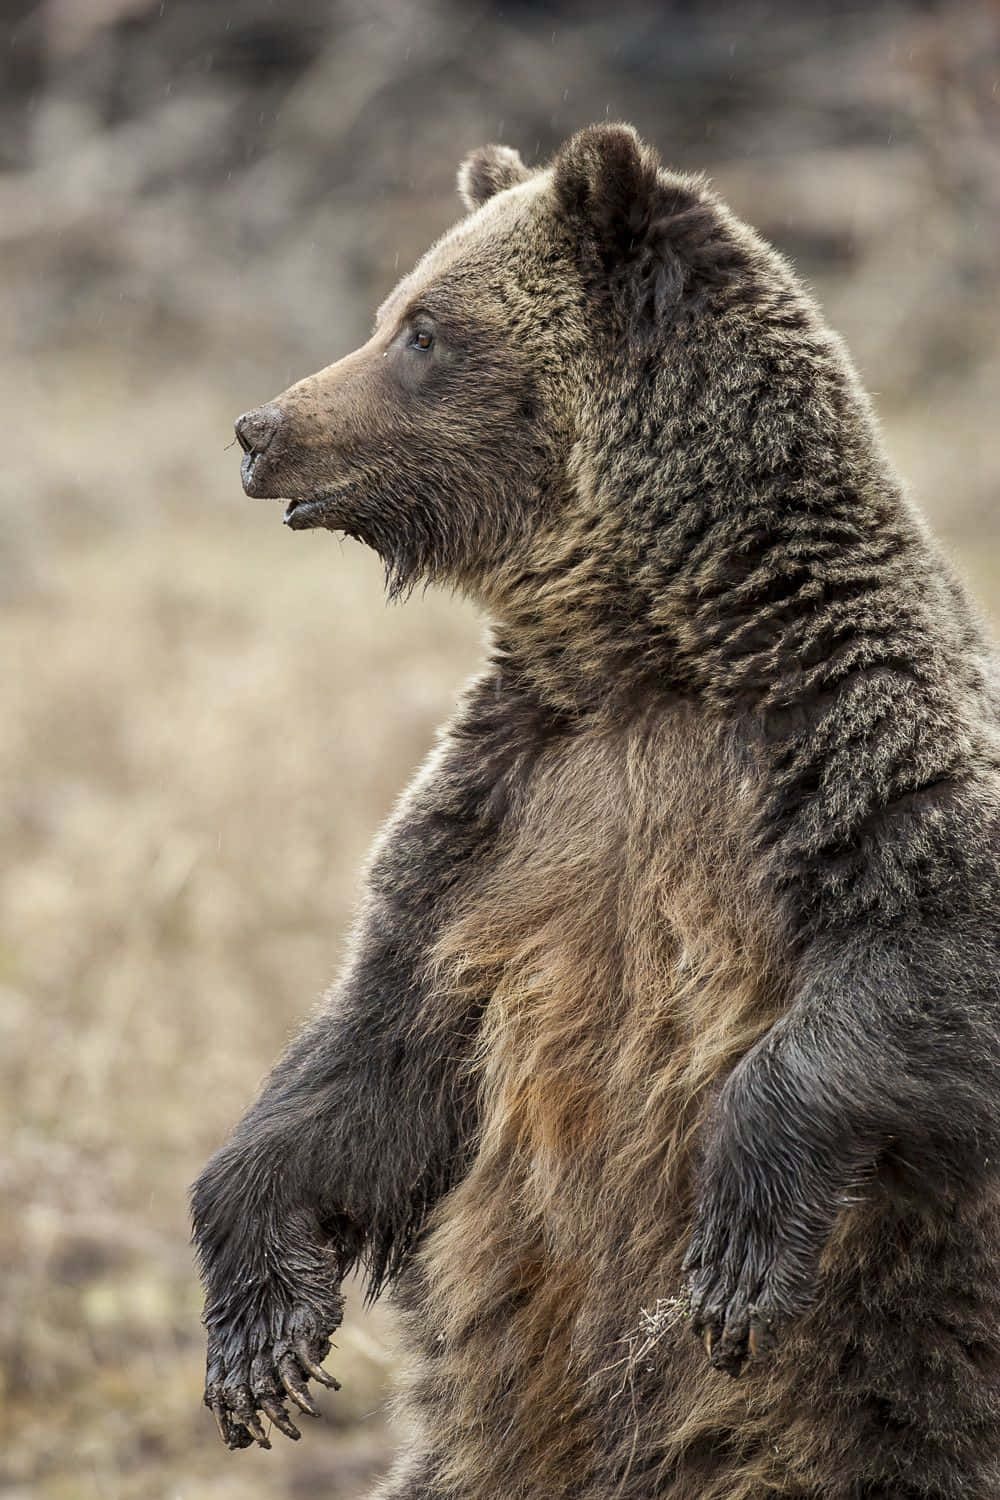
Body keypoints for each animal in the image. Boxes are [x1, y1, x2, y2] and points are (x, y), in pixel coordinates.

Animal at [191, 123, 1000, 1498]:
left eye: (422, 329)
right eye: (393, 310)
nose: (262, 428)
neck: (647, 661)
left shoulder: (847, 751)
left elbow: (926, 965)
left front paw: (735, 1250)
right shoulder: (502, 823)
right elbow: (377, 1049)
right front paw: (259, 1330)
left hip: (892, 1398)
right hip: (491, 1444)